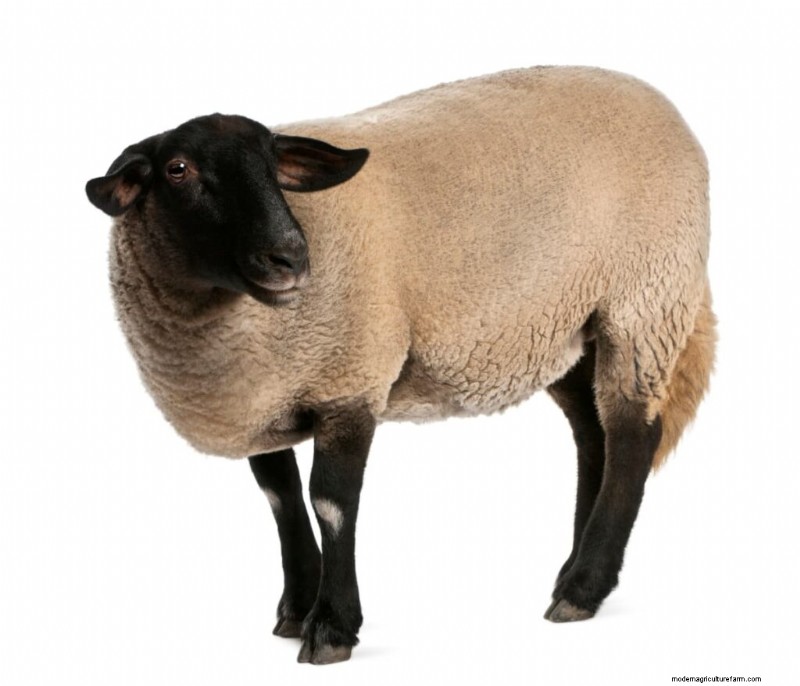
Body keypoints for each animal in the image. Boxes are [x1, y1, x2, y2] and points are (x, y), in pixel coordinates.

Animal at [85, 66, 715, 665]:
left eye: (272, 164)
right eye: (178, 170)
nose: (290, 257)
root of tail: (659, 100)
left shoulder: (349, 378)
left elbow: (331, 503)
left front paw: (332, 627)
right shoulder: (262, 398)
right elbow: (281, 498)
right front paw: (296, 609)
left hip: (644, 301)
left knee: (632, 435)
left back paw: (583, 587)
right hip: (563, 325)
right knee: (593, 434)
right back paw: (573, 569)